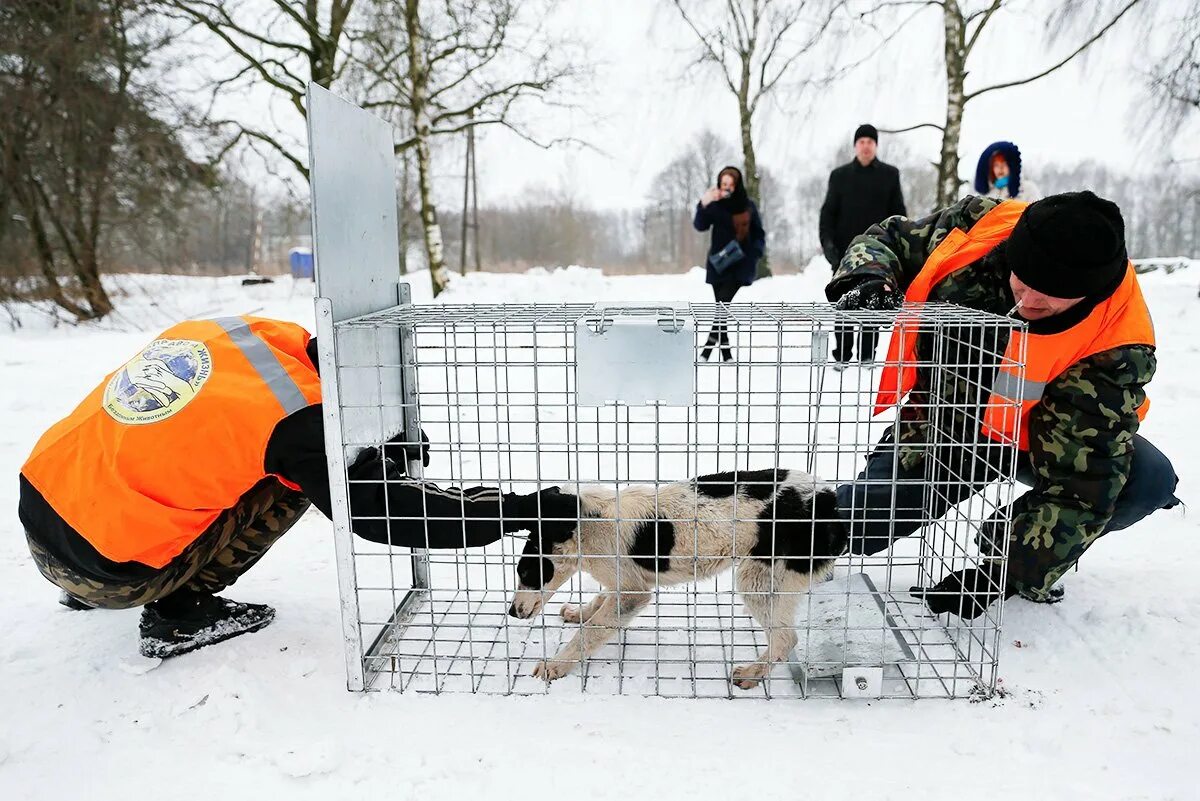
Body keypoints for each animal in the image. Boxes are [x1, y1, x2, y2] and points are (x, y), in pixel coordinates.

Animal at [511, 470, 849, 690]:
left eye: (526, 572)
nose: (512, 612)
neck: (589, 520)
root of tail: (830, 501)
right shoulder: (622, 582)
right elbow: (599, 601)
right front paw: (579, 612)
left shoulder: (633, 593)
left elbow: (590, 632)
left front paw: (556, 664)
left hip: (758, 579)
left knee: (785, 639)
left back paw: (752, 673)